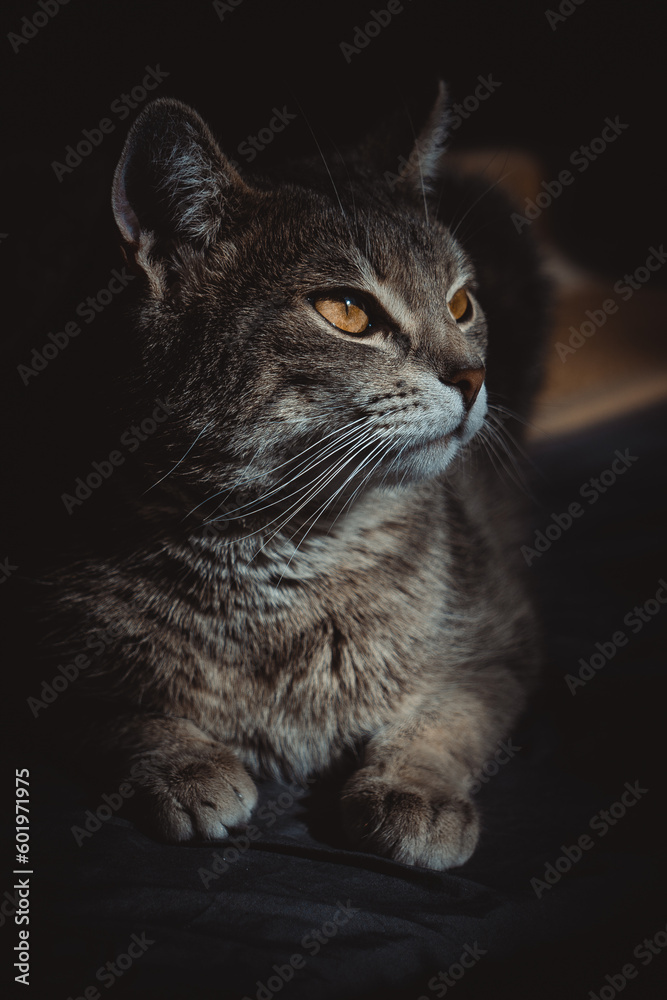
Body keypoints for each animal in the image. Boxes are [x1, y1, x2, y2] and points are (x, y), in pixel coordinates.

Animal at [36, 84, 548, 868]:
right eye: (347, 311)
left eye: (461, 303)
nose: (472, 376)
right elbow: (115, 715)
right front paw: (185, 765)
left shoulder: (504, 644)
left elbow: (449, 718)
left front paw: (415, 791)